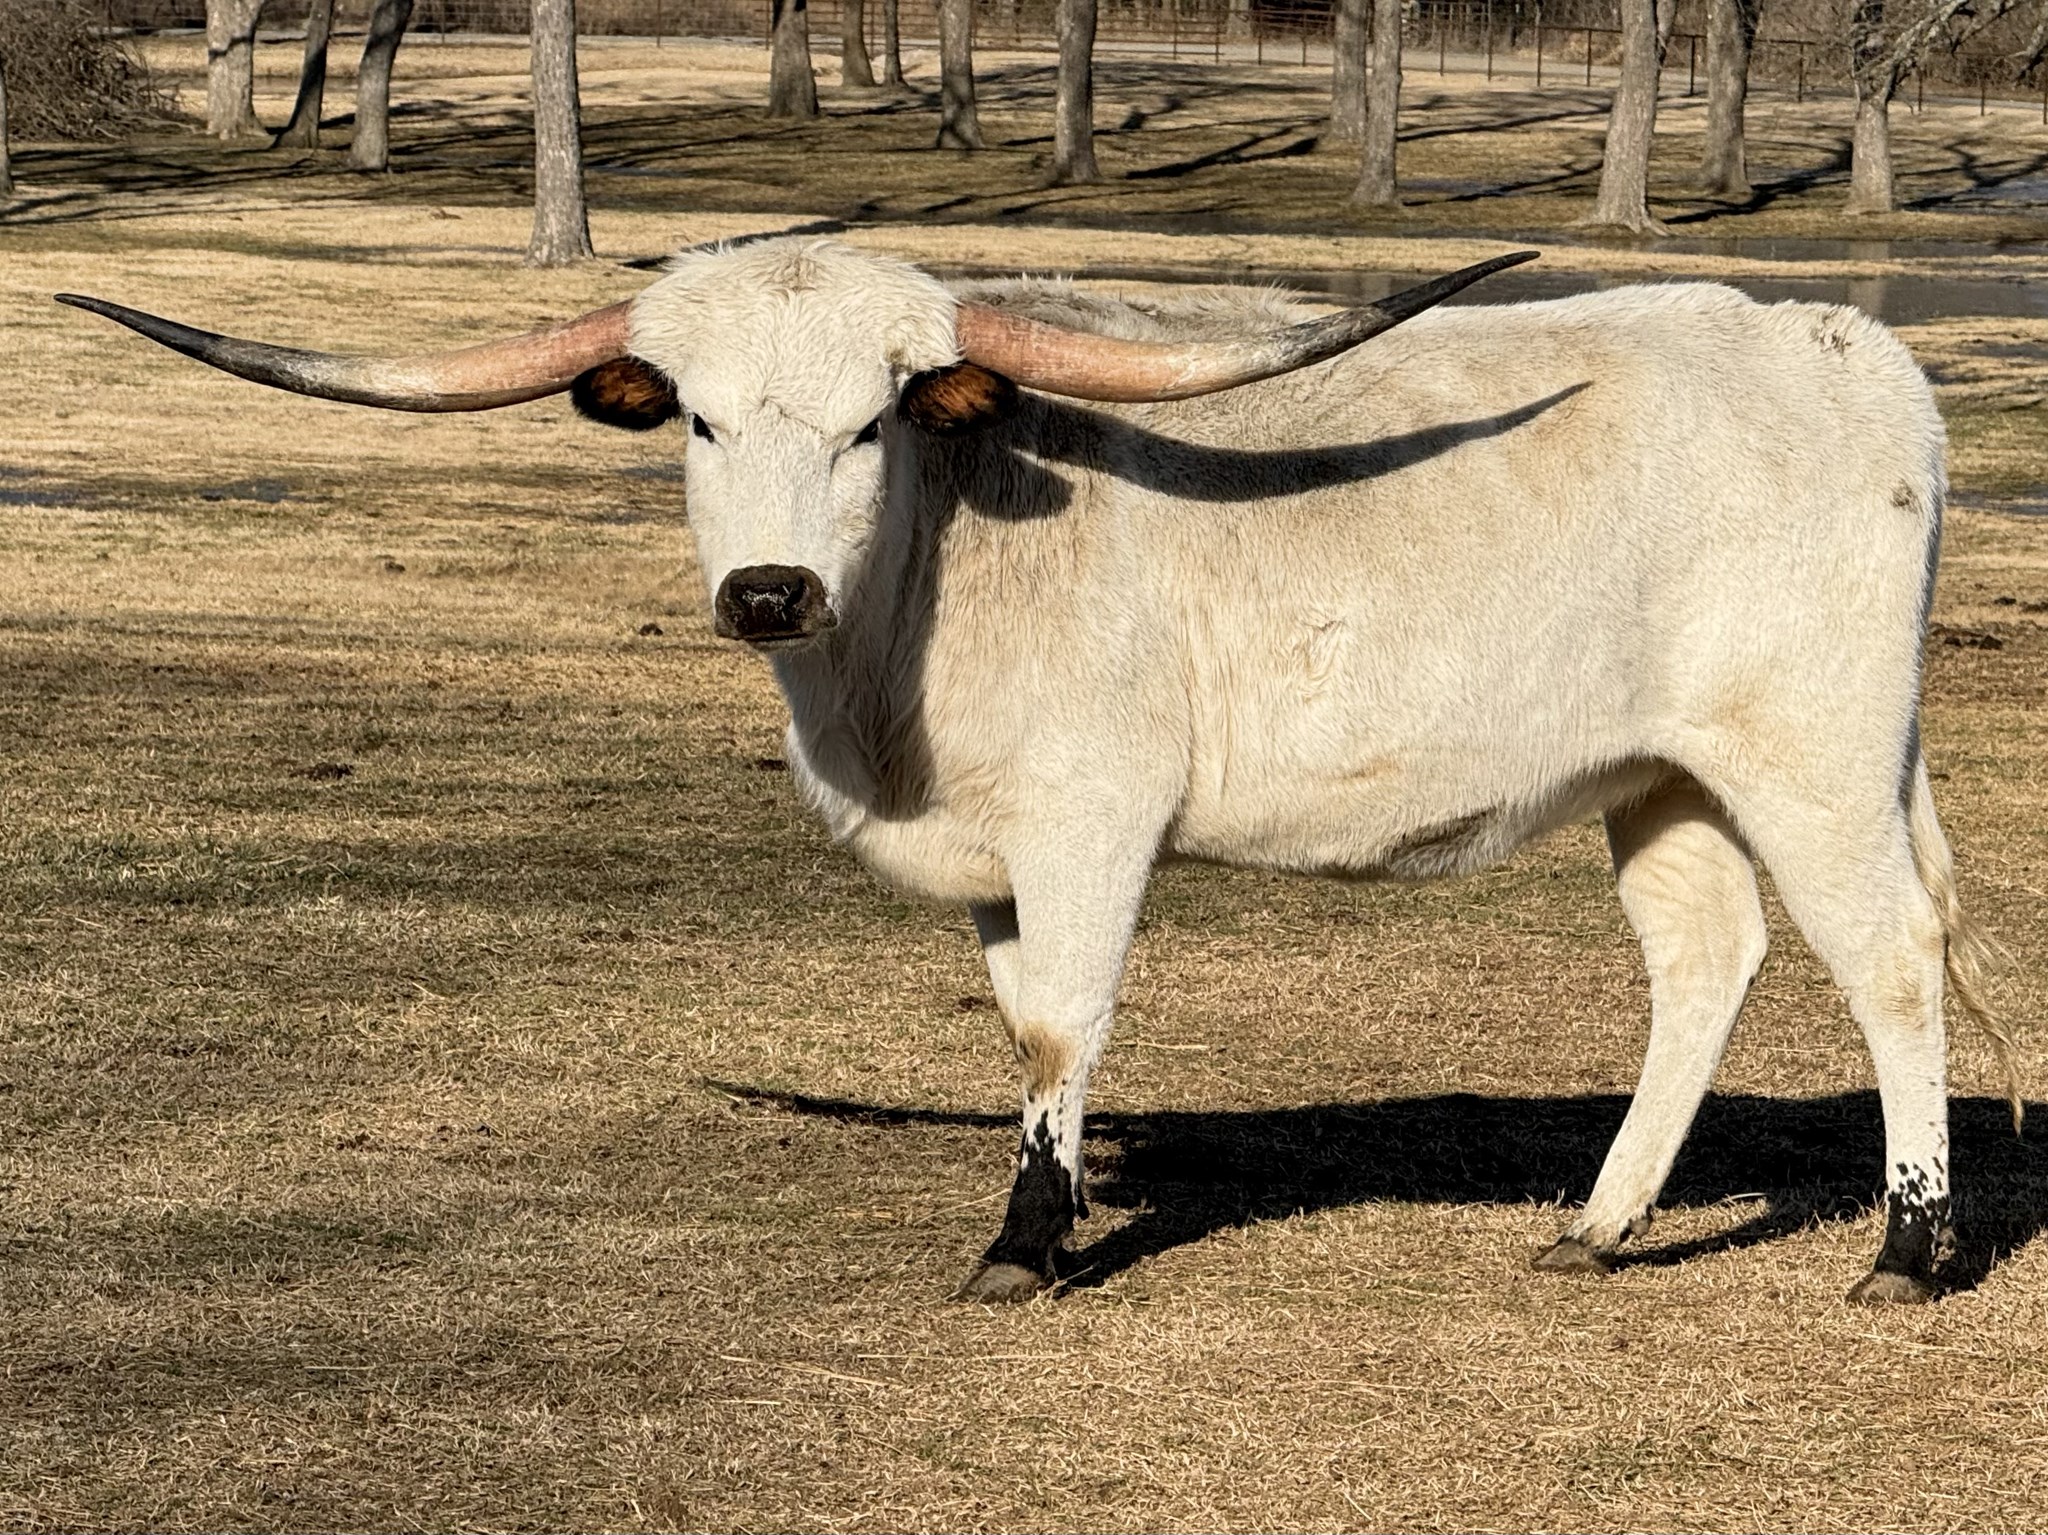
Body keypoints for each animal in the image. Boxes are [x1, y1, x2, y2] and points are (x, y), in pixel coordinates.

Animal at [61, 236, 2019, 1307]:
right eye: (696, 415)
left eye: (871, 418)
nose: (764, 590)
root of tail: (1849, 347)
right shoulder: (994, 859)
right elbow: (1017, 1032)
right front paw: (1052, 1213)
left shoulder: (1089, 823)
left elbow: (1067, 1026)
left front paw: (1025, 1240)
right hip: (1656, 769)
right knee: (1704, 954)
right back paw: (1601, 1226)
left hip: (1816, 751)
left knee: (1887, 963)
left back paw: (1908, 1249)